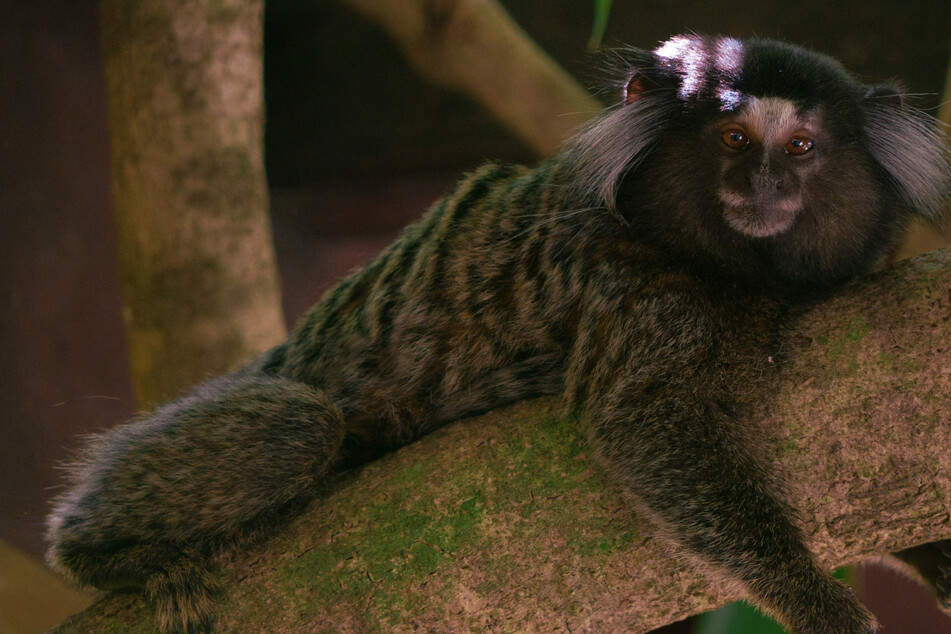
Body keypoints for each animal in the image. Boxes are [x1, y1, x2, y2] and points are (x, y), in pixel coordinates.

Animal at [47, 34, 951, 633]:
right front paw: (819, 604)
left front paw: (935, 557)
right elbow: (646, 428)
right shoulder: (638, 292)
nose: (762, 182)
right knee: (296, 427)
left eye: (799, 147)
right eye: (732, 139)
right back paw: (106, 550)